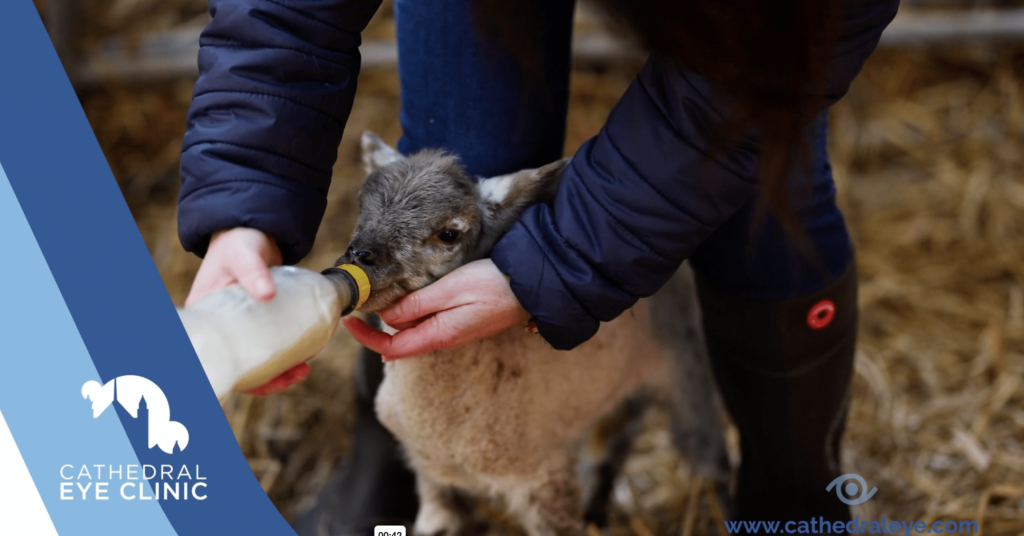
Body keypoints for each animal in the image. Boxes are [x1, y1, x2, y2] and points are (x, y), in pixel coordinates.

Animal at [338, 131, 730, 536]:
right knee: (617, 436)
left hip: (689, 364)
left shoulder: (544, 479)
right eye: (361, 205)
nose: (360, 256)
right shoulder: (432, 479)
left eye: (448, 234)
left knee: (708, 454)